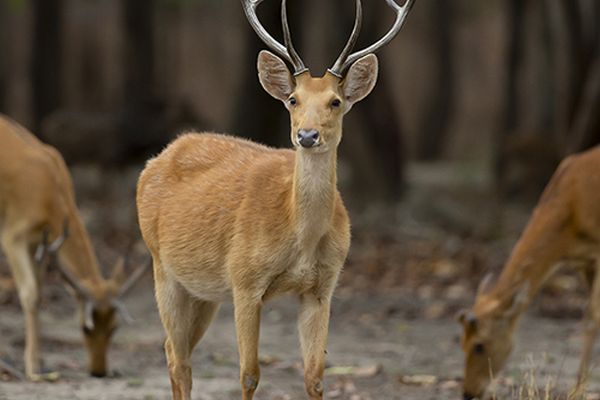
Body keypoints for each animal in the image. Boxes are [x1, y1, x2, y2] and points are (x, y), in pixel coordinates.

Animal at [0, 115, 148, 382]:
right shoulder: (13, 236)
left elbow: (40, 290)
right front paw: (33, 369)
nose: (98, 371)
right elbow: (31, 294)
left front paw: (41, 361)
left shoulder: (40, 243)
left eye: (114, 327)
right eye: (85, 327)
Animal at [137, 1, 418, 398]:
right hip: (162, 266)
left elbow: (315, 375)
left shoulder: (323, 286)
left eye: (335, 101)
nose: (307, 135)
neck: (298, 235)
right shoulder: (244, 280)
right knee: (177, 357)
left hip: (203, 290)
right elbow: (249, 373)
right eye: (293, 99)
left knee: (177, 352)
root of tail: (158, 157)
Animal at [458, 145, 600, 398]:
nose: (469, 392)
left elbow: (593, 317)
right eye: (461, 341)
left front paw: (578, 391)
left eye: (479, 345)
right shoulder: (585, 261)